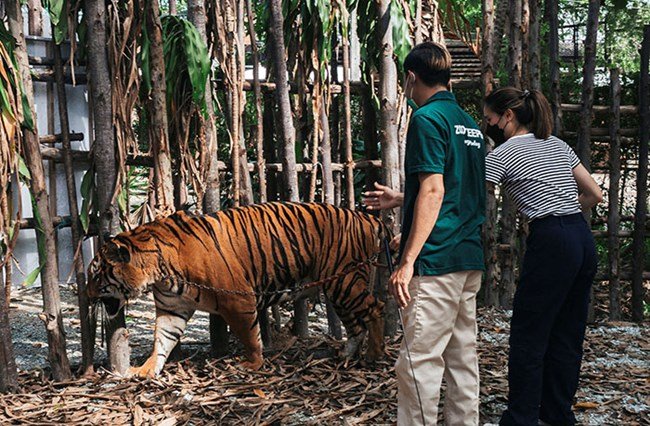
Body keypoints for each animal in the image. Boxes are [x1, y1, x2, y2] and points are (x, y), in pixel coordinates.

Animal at [87, 202, 389, 378]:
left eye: (96, 275)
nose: (88, 296)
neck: (159, 272)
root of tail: (366, 217)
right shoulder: (173, 308)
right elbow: (162, 339)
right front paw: (147, 369)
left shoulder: (238, 301)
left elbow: (250, 336)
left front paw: (252, 365)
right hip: (338, 289)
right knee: (356, 325)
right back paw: (347, 355)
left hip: (345, 283)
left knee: (377, 309)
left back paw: (373, 355)